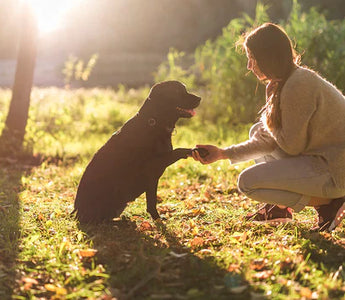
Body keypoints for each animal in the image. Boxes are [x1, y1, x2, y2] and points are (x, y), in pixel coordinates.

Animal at [73, 80, 202, 223]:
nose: (200, 98)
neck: (154, 122)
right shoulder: (154, 166)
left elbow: (151, 203)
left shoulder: (153, 177)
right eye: (178, 92)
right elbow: (178, 151)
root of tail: (77, 213)